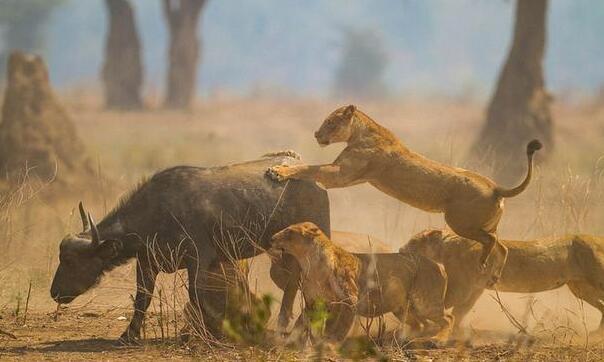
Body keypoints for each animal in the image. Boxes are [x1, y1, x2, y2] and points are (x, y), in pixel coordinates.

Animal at [50, 153, 330, 346]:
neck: (157, 213)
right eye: (62, 256)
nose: (55, 292)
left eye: (70, 260)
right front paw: (128, 335)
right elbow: (142, 298)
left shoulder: (199, 258)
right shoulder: (147, 261)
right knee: (293, 284)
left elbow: (196, 295)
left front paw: (201, 332)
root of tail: (317, 182)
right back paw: (286, 328)